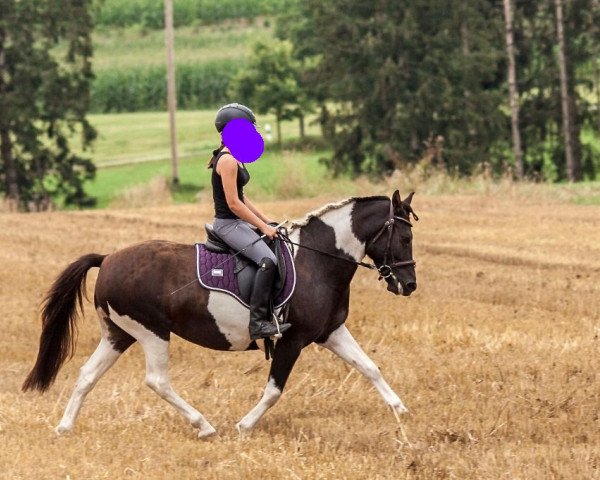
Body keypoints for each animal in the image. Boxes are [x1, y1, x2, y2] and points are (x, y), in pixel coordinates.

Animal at [22, 189, 418, 436]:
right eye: (405, 238)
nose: (410, 285)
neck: (316, 260)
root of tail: (107, 259)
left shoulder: (330, 332)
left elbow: (369, 367)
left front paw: (402, 412)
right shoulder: (292, 340)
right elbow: (274, 390)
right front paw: (244, 426)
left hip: (118, 334)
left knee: (87, 375)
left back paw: (64, 427)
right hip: (151, 331)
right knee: (157, 381)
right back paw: (204, 426)